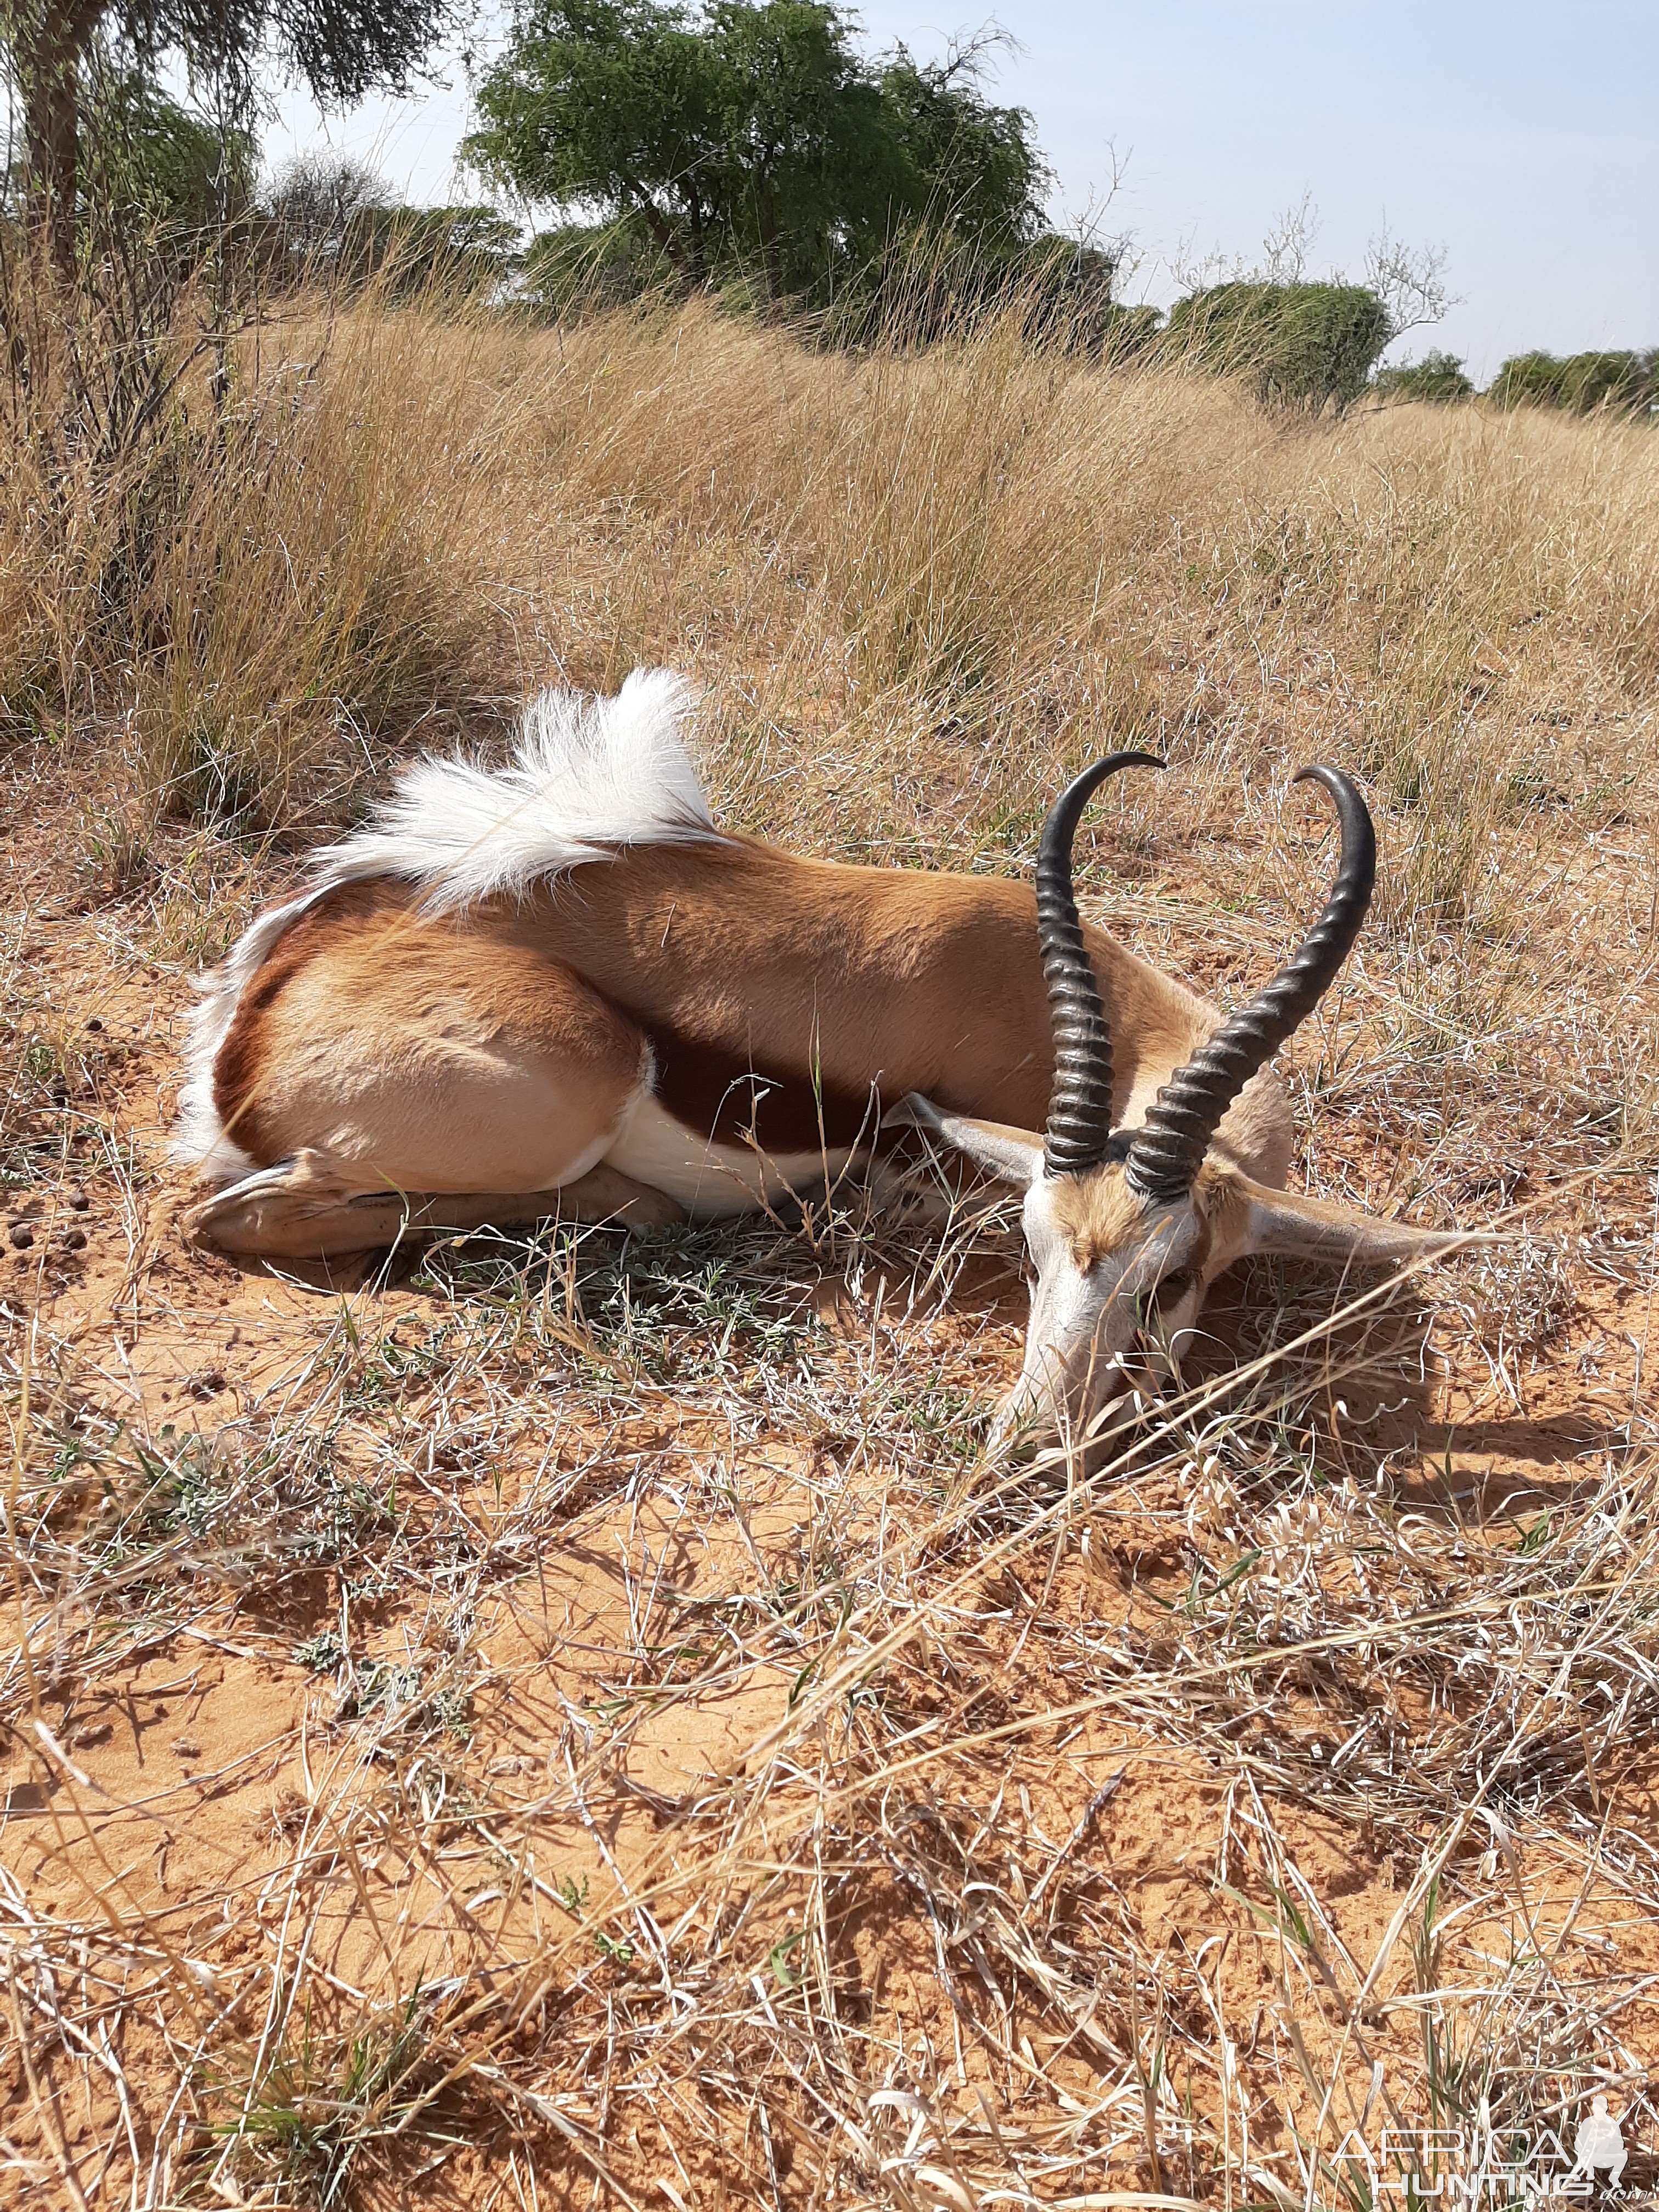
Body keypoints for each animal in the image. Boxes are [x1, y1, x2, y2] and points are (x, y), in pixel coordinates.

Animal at [179, 663, 1477, 1442]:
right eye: (1032, 1254)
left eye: (1170, 1279)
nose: (1032, 1438)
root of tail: (273, 985)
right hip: (573, 1076)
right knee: (233, 1216)